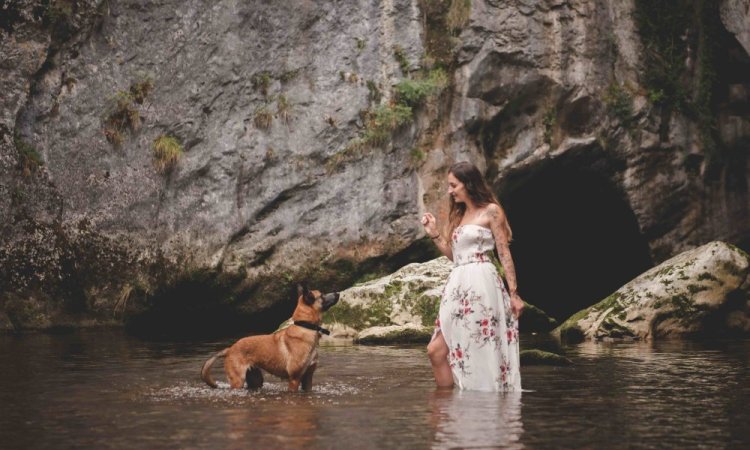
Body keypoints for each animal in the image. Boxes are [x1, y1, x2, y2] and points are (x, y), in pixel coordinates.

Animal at [200, 286, 340, 392]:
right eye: (322, 295)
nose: (338, 293)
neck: (305, 326)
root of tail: (230, 349)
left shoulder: (308, 379)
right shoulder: (294, 379)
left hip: (256, 380)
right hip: (238, 381)